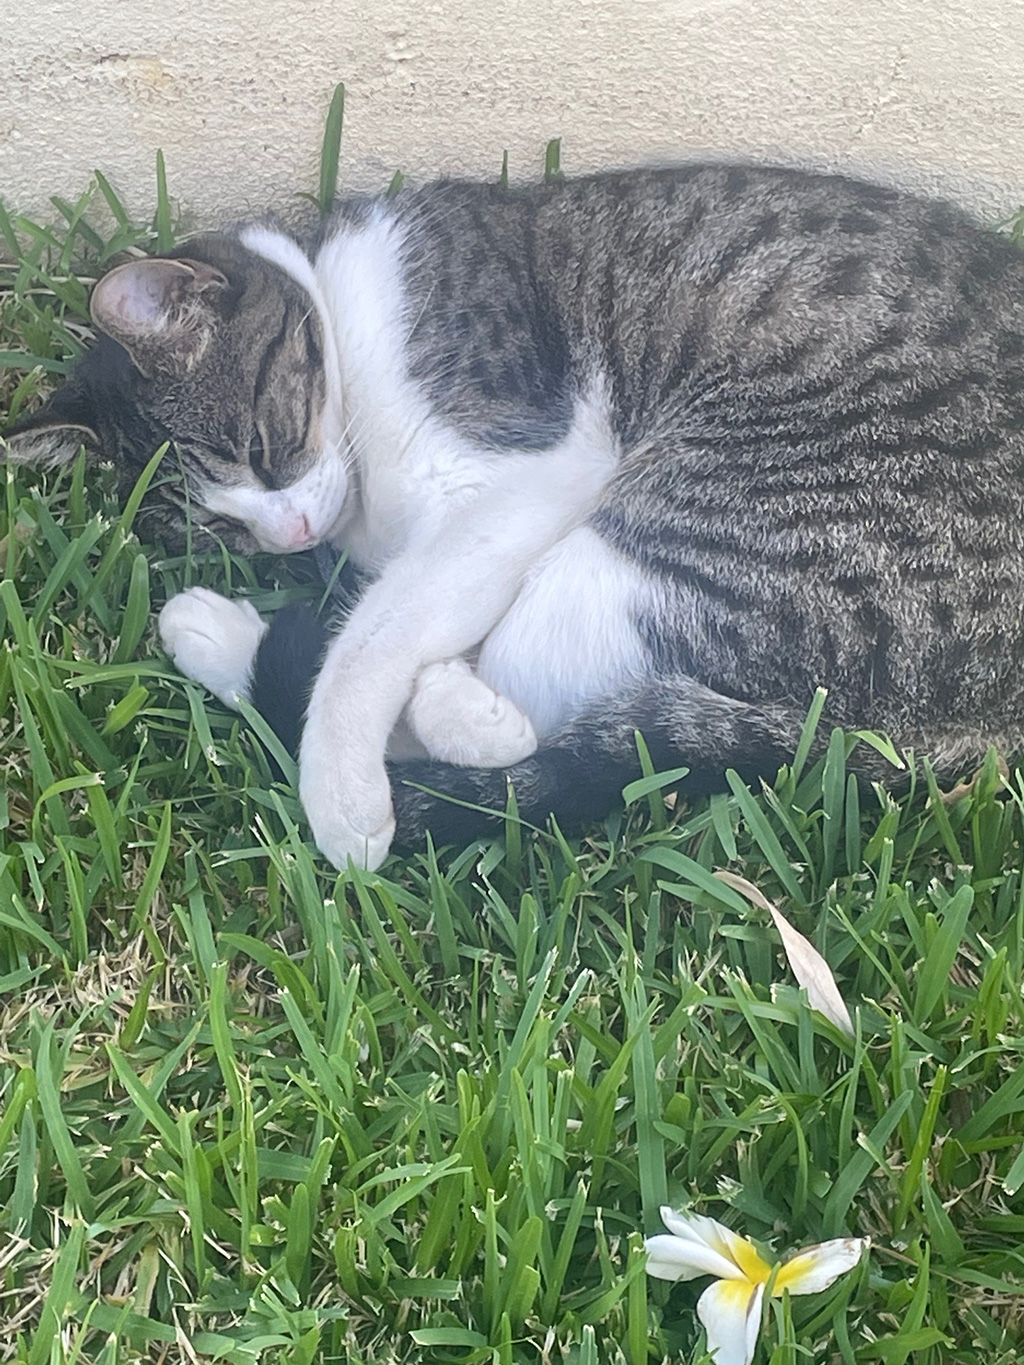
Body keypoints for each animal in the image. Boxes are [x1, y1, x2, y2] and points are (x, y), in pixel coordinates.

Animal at [8, 161, 1024, 870]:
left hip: (673, 543)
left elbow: (374, 639)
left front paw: (346, 795)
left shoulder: (532, 470)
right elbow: (396, 621)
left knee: (560, 692)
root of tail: (985, 728)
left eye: (265, 446)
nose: (290, 536)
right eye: (219, 529)